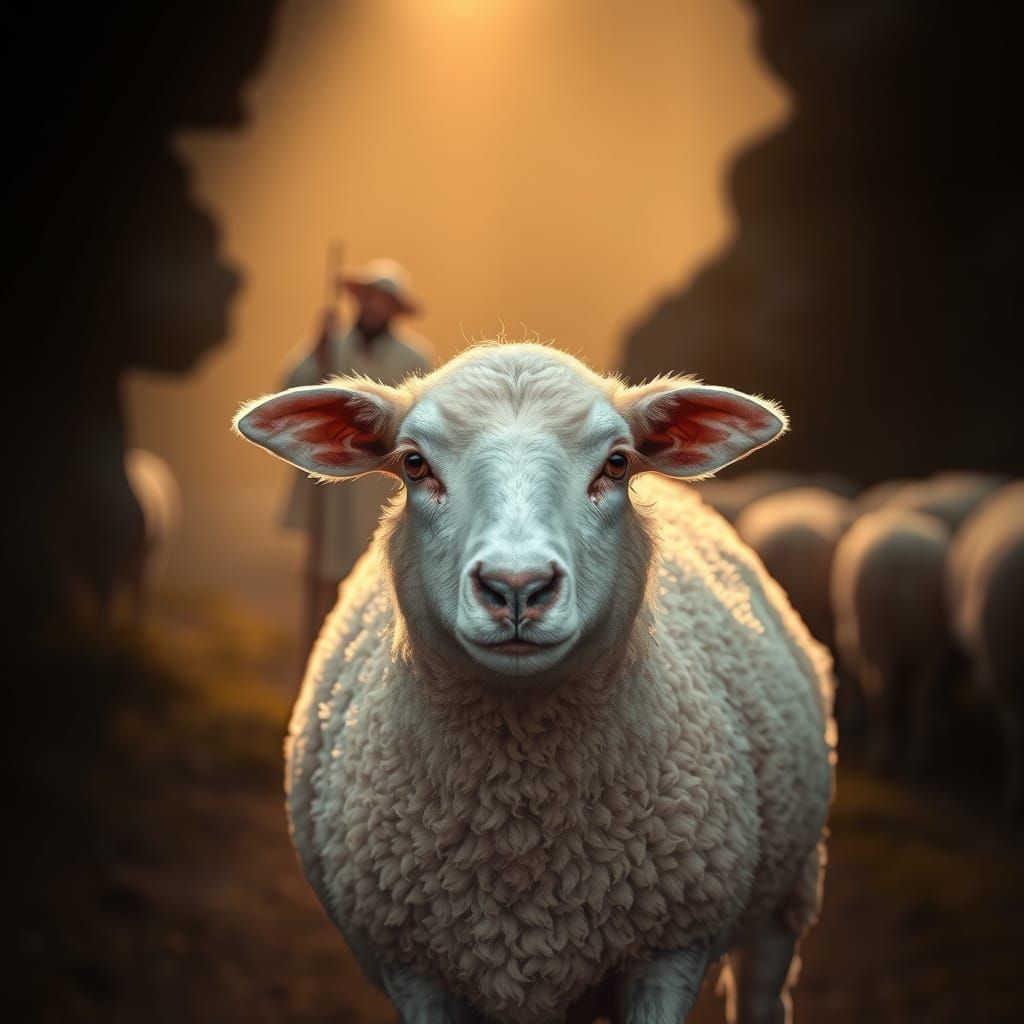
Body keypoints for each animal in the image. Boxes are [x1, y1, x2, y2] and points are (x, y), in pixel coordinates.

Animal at [233, 342, 835, 1024]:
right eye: (414, 464)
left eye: (617, 463)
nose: (516, 586)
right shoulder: (410, 967)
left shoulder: (670, 951)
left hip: (788, 890)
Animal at [829, 507, 955, 774]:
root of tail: (905, 557)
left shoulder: (848, 634)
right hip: (929, 642)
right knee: (920, 694)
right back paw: (917, 757)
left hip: (874, 632)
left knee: (879, 689)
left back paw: (882, 755)